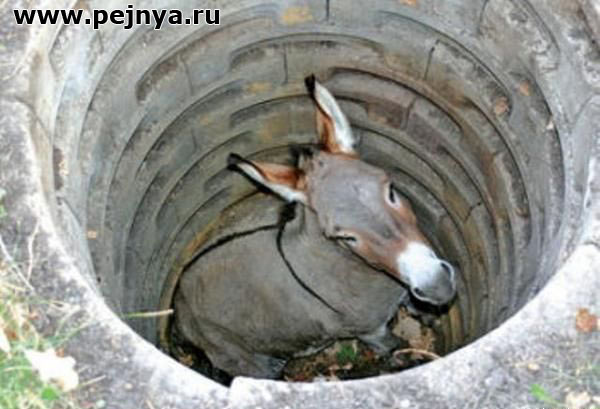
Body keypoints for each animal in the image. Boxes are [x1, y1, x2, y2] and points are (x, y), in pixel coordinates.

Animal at [172, 76, 456, 379]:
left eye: (390, 189)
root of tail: (178, 305)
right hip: (244, 358)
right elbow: (393, 346)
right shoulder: (372, 332)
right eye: (344, 237)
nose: (436, 284)